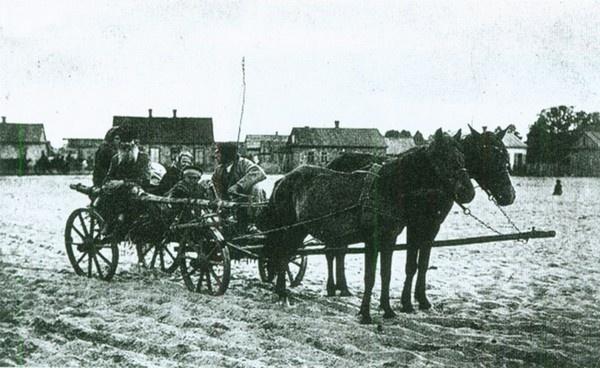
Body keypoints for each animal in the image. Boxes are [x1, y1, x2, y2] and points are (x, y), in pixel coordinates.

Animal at [260, 129, 476, 322]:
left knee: (287, 255)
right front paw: (365, 314)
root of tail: (284, 179)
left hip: (300, 229)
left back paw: (283, 291)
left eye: (463, 156)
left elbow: (386, 274)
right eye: (446, 158)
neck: (388, 187)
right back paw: (283, 293)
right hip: (291, 229)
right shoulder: (372, 240)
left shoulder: (389, 239)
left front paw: (388, 310)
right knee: (283, 255)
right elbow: (370, 276)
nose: (468, 192)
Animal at [324, 125, 516, 318]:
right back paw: (333, 287)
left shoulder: (432, 225)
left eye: (506, 158)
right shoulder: (414, 225)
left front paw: (422, 300)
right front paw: (406, 303)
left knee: (340, 252)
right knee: (332, 252)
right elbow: (411, 265)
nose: (509, 196)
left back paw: (343, 288)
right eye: (490, 156)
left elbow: (423, 264)